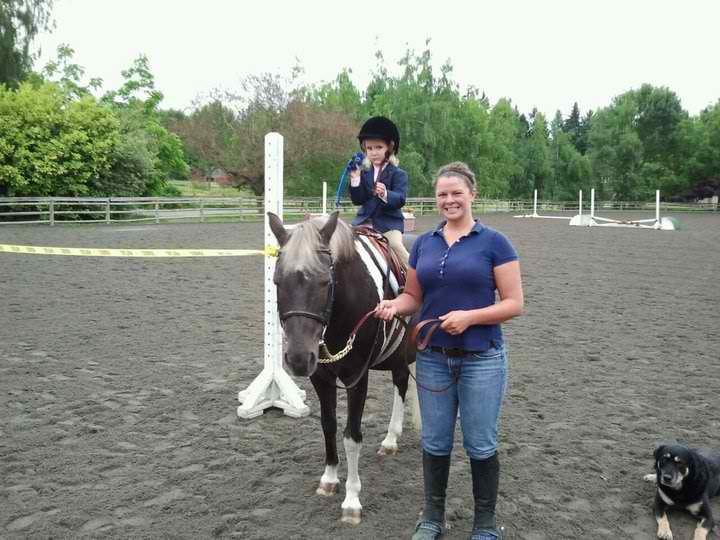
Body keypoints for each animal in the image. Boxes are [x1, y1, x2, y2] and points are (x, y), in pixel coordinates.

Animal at [268, 210, 416, 524]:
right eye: (277, 281)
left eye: (326, 281)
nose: (298, 358)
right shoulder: (321, 378)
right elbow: (329, 426)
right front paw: (329, 479)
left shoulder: (356, 379)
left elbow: (352, 436)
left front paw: (352, 500)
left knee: (402, 384)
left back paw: (391, 438)